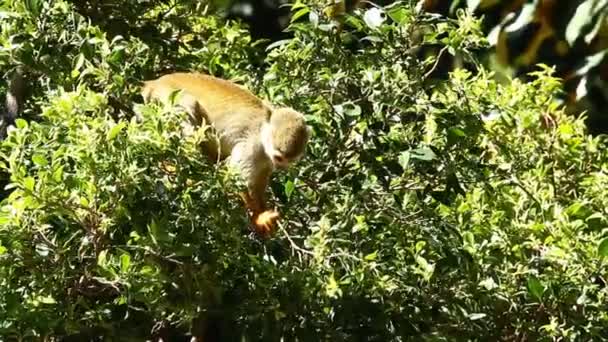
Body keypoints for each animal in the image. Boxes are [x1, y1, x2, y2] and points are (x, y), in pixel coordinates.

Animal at [141, 73, 308, 235]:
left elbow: (258, 181)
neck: (263, 134)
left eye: (288, 161)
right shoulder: (252, 146)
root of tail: (154, 83)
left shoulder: (265, 158)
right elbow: (238, 178)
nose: (281, 167)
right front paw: (260, 218)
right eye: (278, 158)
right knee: (187, 108)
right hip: (167, 97)